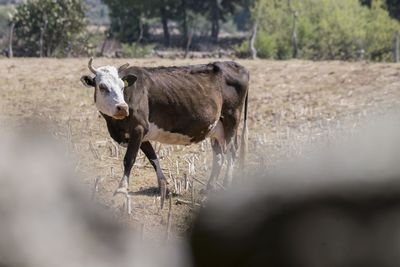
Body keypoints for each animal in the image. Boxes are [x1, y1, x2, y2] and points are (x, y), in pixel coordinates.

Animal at [79, 58, 248, 208]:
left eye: (122, 86)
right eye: (102, 86)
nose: (122, 108)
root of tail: (235, 65)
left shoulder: (139, 128)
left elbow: (129, 160)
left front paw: (121, 191)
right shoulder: (141, 135)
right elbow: (153, 158)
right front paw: (164, 185)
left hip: (231, 120)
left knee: (231, 152)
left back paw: (227, 185)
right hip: (216, 129)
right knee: (219, 156)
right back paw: (209, 187)